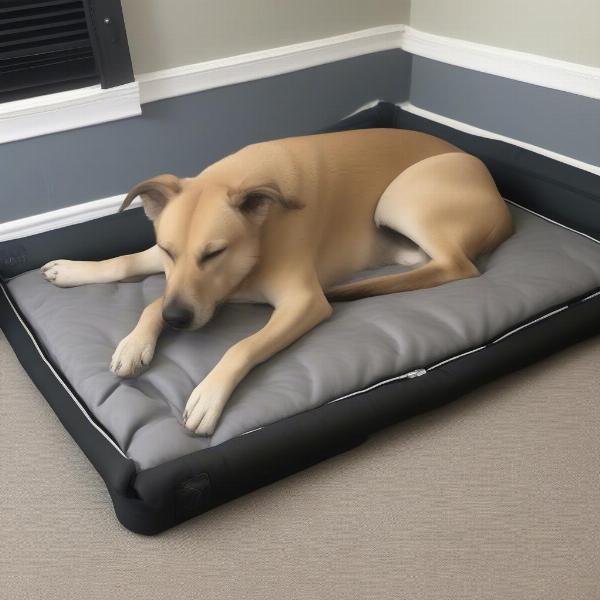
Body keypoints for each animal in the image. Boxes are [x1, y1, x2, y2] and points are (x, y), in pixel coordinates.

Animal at [41, 127, 510, 436]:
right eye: (169, 250)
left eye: (214, 253)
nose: (177, 320)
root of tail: (503, 204)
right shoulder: (192, 286)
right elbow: (130, 272)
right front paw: (126, 332)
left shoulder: (302, 302)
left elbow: (241, 346)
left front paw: (208, 394)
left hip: (399, 197)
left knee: (457, 266)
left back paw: (359, 288)